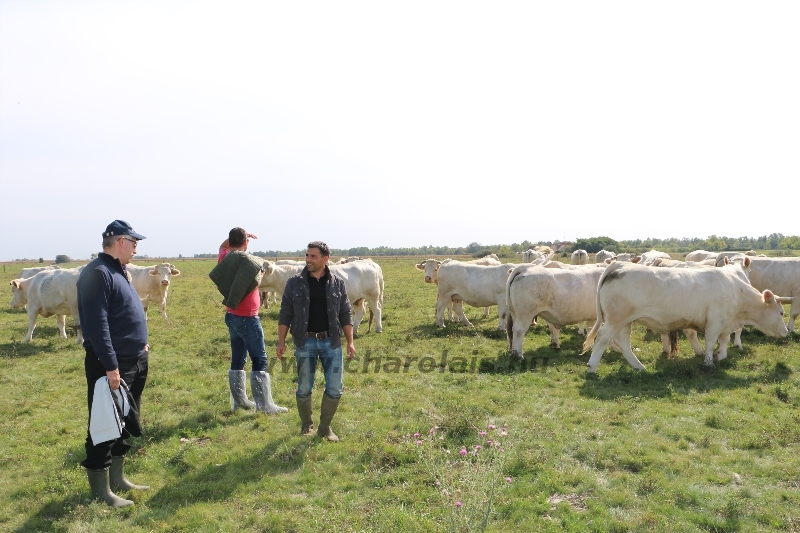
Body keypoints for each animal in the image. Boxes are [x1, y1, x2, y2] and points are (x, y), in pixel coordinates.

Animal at [580, 260, 792, 370]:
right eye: (781, 312)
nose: (786, 333)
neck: (735, 291)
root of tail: (618, 265)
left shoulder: (726, 323)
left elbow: (724, 342)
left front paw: (720, 355)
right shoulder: (715, 321)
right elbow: (710, 342)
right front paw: (708, 362)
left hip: (625, 321)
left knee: (622, 341)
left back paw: (638, 366)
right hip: (617, 319)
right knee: (603, 337)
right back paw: (592, 367)